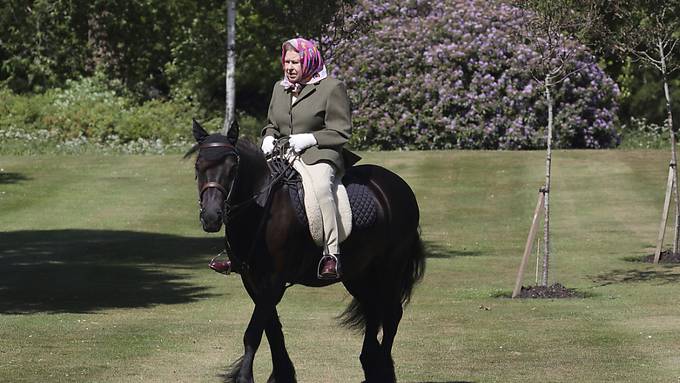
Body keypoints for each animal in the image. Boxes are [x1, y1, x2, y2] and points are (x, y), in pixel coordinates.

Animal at [187, 121, 424, 383]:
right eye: (198, 166)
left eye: (233, 168)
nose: (211, 217)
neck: (261, 207)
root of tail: (397, 186)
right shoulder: (253, 281)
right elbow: (272, 329)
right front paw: (282, 374)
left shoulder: (273, 281)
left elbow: (254, 332)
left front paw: (244, 377)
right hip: (359, 273)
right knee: (373, 309)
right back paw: (370, 364)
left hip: (390, 269)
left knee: (392, 314)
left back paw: (381, 368)